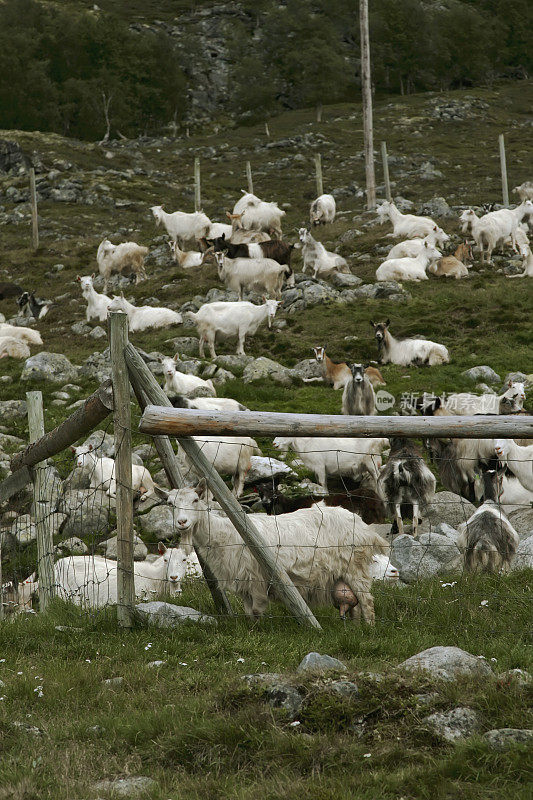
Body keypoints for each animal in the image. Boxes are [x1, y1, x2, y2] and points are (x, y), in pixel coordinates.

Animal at [160, 478, 388, 620]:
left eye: (195, 500)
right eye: (170, 503)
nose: (182, 522)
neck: (224, 534)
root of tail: (362, 525)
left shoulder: (257, 580)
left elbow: (257, 611)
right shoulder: (243, 583)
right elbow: (249, 612)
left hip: (355, 566)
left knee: (367, 601)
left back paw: (368, 629)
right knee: (354, 604)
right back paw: (354, 627)